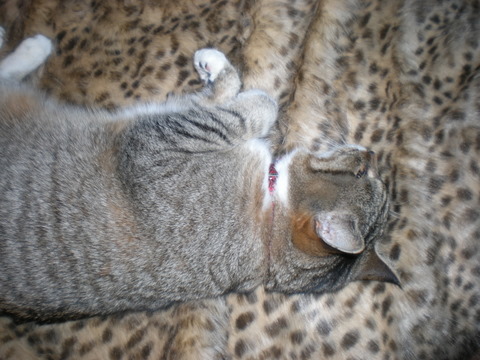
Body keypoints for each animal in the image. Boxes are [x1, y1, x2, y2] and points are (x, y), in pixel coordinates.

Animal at [0, 33, 398, 320]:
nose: (371, 152)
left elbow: (254, 105)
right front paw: (215, 69)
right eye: (364, 171)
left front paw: (222, 76)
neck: (270, 222)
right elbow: (236, 103)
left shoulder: (155, 144)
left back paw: (31, 45)